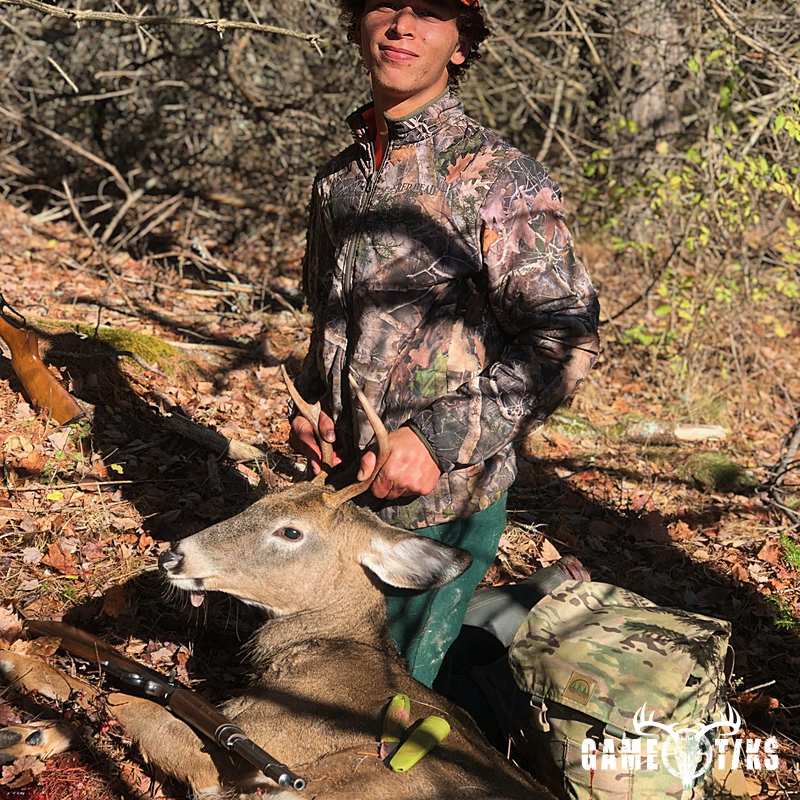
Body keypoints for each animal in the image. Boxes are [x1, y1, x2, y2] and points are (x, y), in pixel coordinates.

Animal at [0, 374, 553, 800]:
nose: (172, 555)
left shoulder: (249, 744)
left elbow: (117, 699)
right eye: (256, 504)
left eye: (291, 531)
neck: (318, 649)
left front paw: (23, 682)